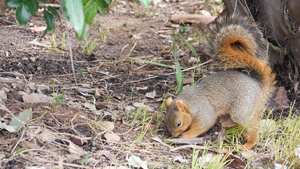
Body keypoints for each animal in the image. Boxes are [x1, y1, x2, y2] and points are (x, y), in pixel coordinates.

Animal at [165, 15, 276, 150]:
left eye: (179, 123)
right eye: (165, 120)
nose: (173, 136)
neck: (191, 102)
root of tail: (259, 87)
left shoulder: (204, 112)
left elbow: (204, 124)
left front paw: (186, 135)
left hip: (242, 108)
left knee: (252, 128)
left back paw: (247, 144)